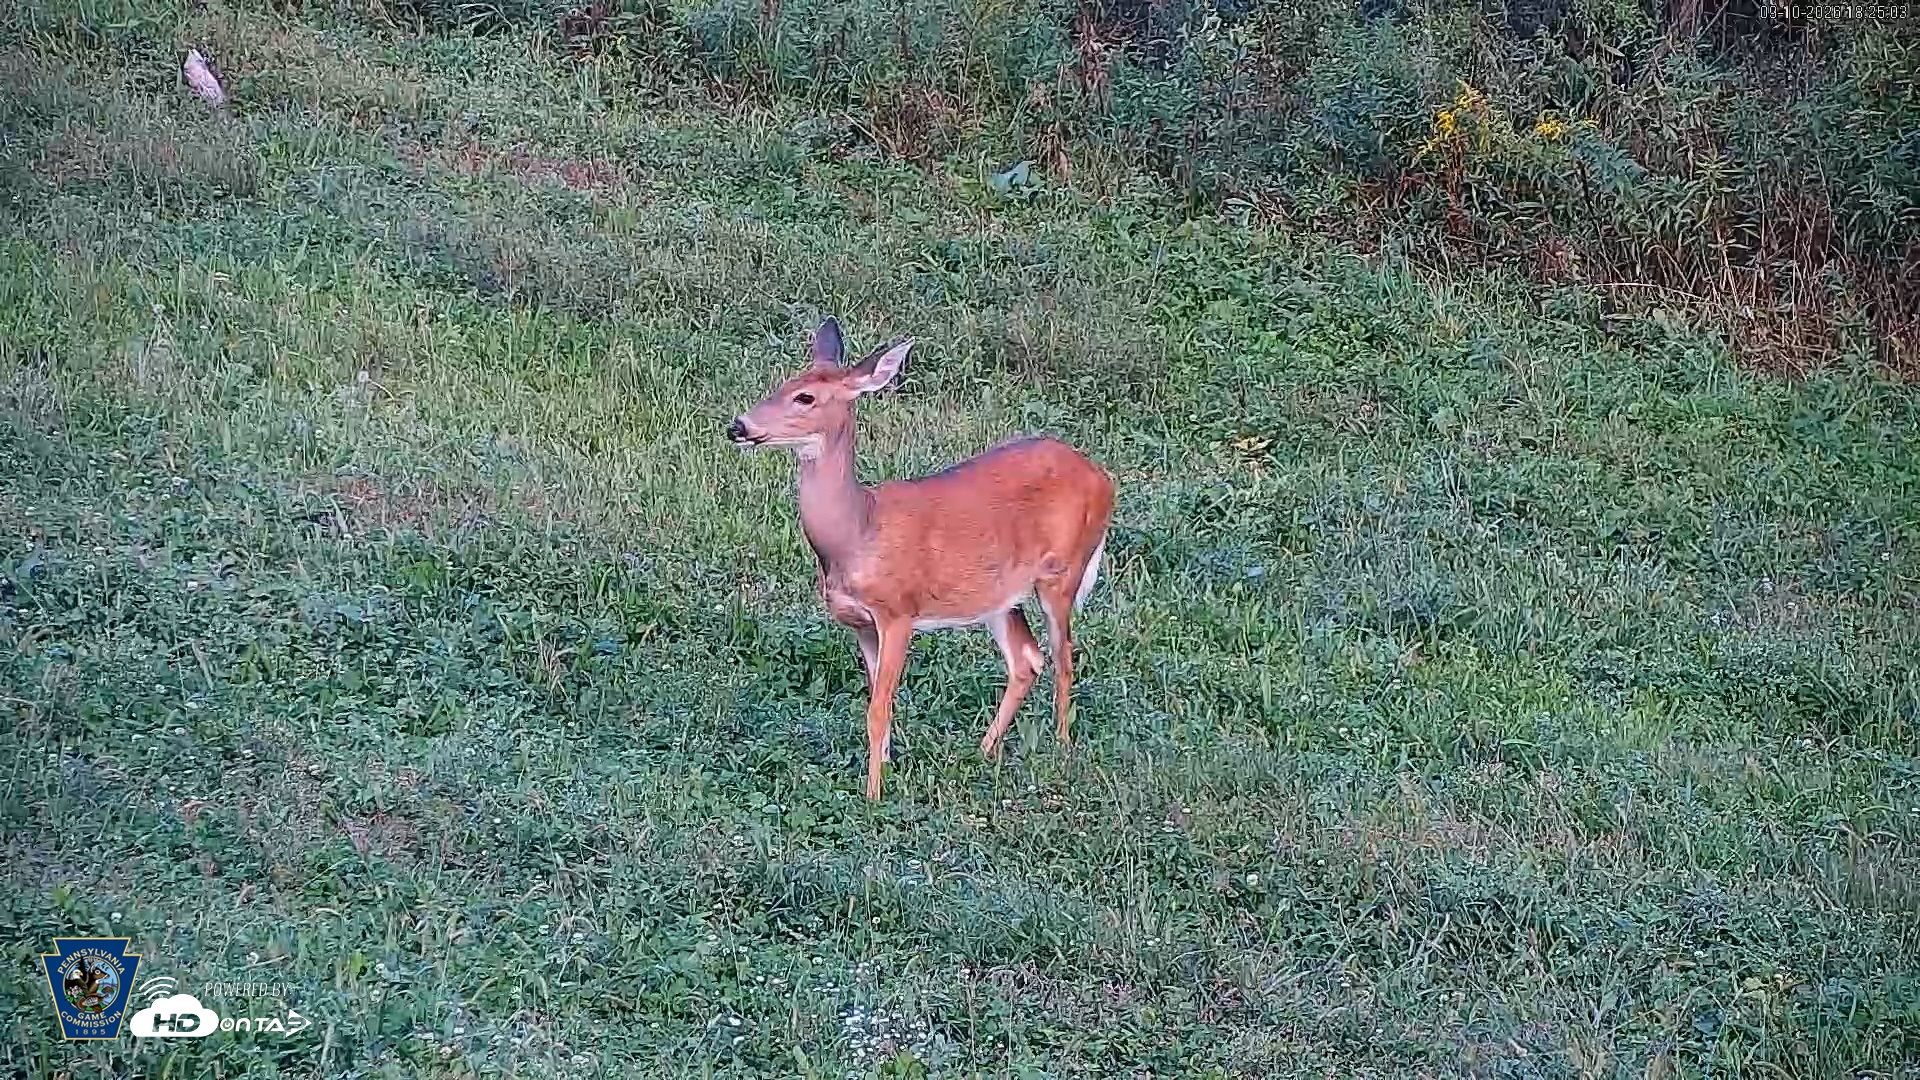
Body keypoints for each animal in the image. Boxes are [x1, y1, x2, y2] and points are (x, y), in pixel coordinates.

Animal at [728, 317, 1116, 800]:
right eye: (781, 383)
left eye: (805, 397)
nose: (738, 426)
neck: (858, 533)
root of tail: (1105, 479)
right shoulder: (860, 623)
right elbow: (879, 700)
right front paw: (888, 769)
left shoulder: (898, 612)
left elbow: (877, 709)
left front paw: (873, 796)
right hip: (999, 595)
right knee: (1026, 659)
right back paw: (981, 751)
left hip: (1063, 571)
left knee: (1064, 656)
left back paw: (1061, 747)